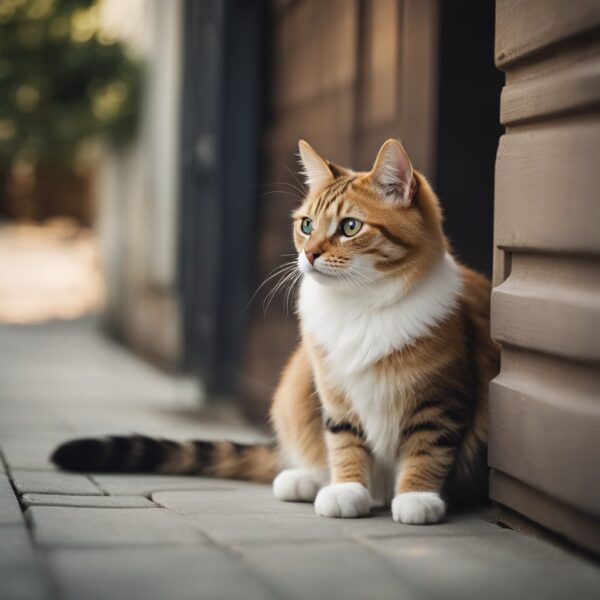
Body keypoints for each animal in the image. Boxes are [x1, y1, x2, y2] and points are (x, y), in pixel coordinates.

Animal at [51, 138, 500, 524]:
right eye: (307, 225)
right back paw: (304, 479)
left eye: (350, 227)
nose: (310, 254)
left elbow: (427, 448)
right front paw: (347, 489)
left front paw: (416, 497)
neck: (360, 304)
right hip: (295, 382)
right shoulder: (333, 391)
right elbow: (344, 442)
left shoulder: (441, 398)